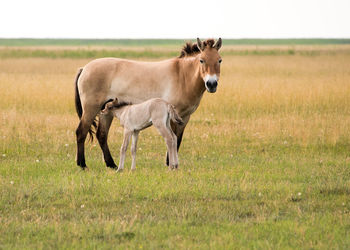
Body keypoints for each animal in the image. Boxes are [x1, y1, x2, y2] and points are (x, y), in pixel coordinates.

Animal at [75, 37, 223, 170]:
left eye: (219, 60)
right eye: (202, 60)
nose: (211, 84)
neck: (182, 76)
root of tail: (84, 68)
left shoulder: (185, 117)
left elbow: (178, 139)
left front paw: (171, 163)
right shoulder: (174, 116)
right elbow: (172, 139)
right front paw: (169, 164)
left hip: (105, 112)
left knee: (102, 135)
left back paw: (111, 164)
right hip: (91, 109)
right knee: (81, 132)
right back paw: (82, 165)